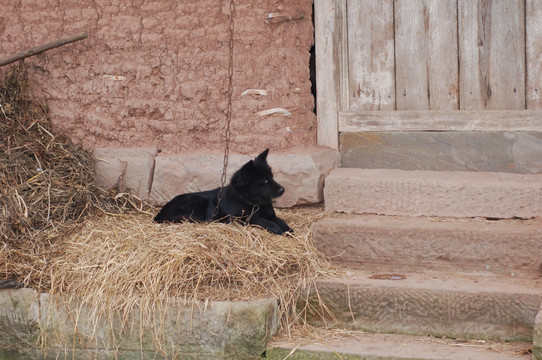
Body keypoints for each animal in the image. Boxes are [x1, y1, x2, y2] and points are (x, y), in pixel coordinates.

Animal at [155, 150, 296, 236]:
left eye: (272, 177)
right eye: (265, 180)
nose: (282, 190)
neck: (253, 202)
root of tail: (160, 214)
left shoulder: (271, 215)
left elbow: (281, 221)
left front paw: (288, 230)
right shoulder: (240, 219)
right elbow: (261, 220)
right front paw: (276, 229)